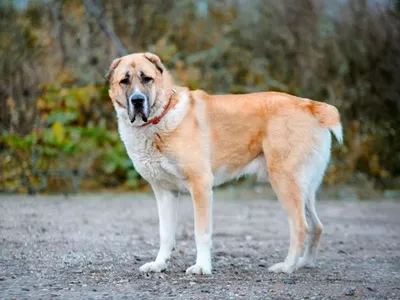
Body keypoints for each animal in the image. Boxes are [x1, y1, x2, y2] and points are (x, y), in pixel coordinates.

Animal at [107, 52, 344, 274]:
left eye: (147, 79)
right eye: (124, 81)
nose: (137, 100)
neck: (161, 117)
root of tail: (309, 105)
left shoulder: (200, 186)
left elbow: (201, 232)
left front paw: (202, 267)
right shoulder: (165, 192)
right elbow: (165, 234)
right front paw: (158, 264)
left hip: (285, 182)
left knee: (301, 227)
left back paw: (287, 266)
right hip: (304, 189)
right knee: (317, 226)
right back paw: (304, 263)